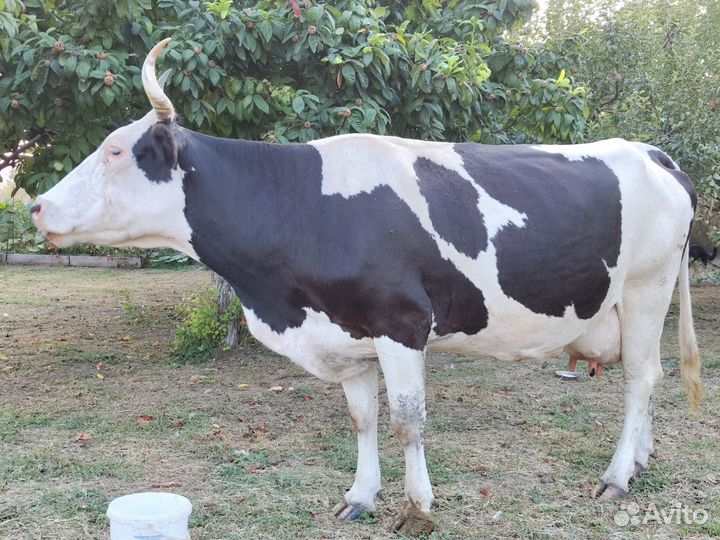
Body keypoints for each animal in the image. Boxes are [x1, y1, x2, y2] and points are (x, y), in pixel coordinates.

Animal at [31, 39, 701, 535]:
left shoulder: (400, 322)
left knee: (642, 377)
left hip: (647, 286)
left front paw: (418, 509)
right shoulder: (346, 332)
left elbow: (407, 418)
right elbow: (362, 417)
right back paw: (640, 461)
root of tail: (650, 152)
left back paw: (617, 476)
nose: (36, 206)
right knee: (648, 374)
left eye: (117, 151)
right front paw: (360, 496)